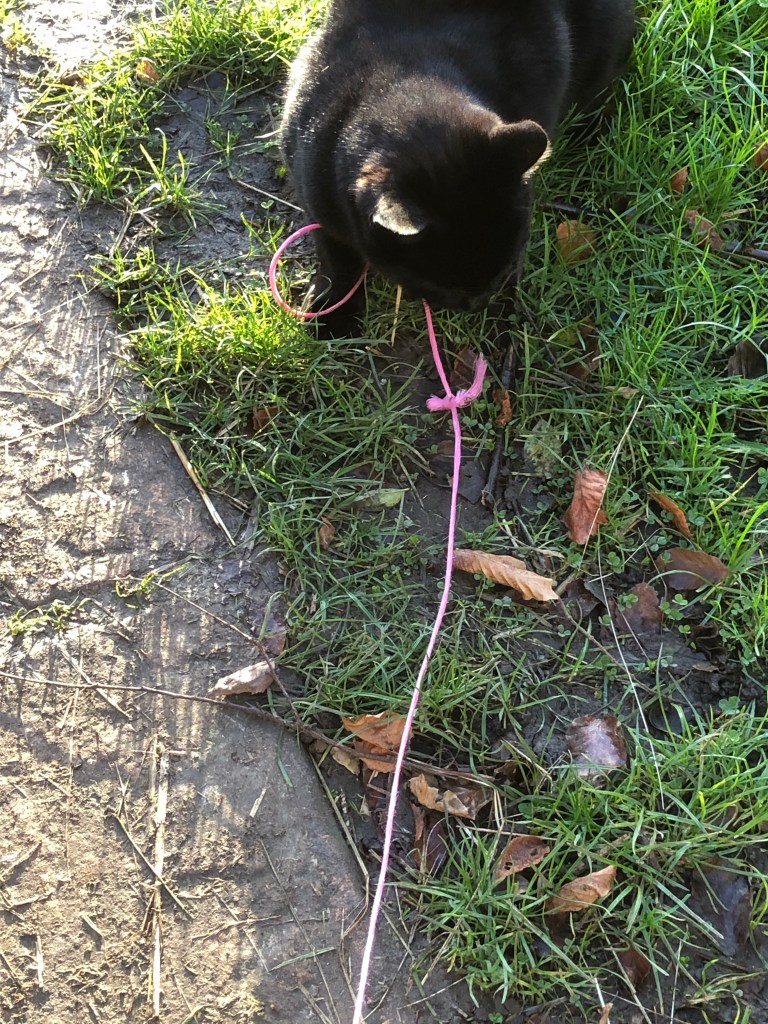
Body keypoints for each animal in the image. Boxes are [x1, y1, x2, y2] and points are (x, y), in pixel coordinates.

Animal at [281, 0, 635, 334]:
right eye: (437, 282)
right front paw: (333, 313)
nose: (479, 302)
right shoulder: (313, 191)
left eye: (500, 268)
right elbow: (336, 255)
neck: (403, 73)